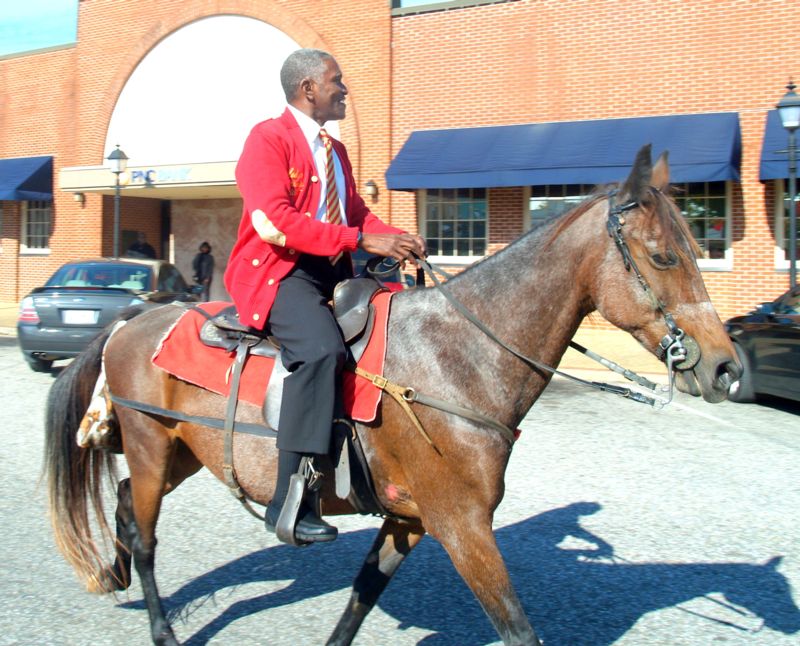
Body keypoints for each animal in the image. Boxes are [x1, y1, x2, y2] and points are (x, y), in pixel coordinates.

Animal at [44, 144, 740, 646]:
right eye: (663, 256)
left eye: (697, 246)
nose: (726, 367)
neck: (460, 358)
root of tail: (132, 317)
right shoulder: (461, 523)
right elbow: (517, 628)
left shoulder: (410, 520)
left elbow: (359, 599)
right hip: (151, 444)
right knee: (145, 533)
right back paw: (160, 625)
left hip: (184, 452)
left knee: (127, 506)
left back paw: (117, 573)